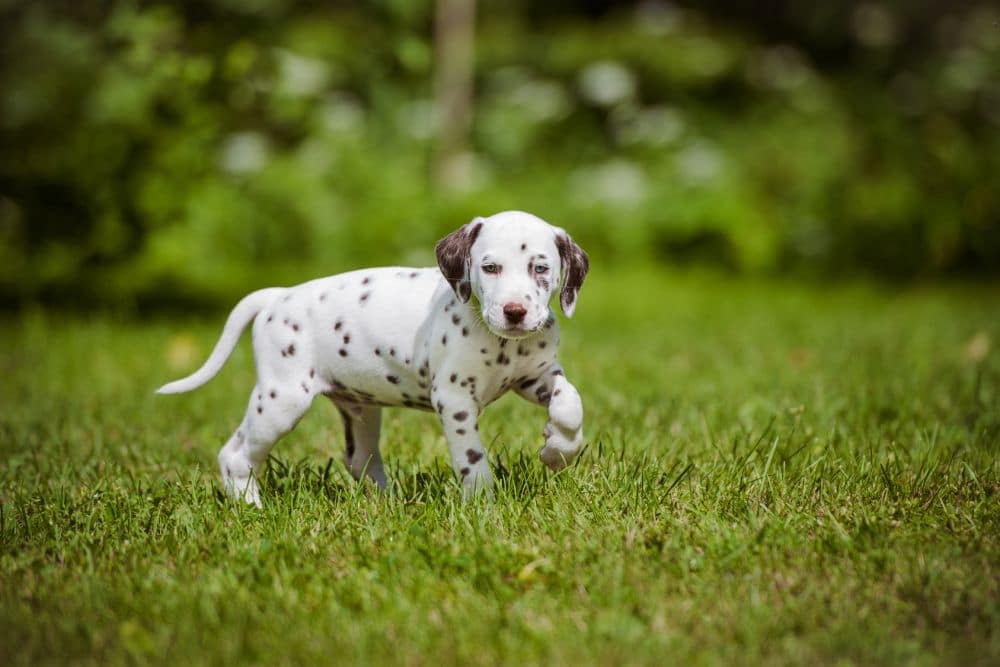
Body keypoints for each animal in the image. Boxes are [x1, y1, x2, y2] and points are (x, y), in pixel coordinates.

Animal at [158, 211, 584, 504]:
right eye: (490, 268)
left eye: (540, 268)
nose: (515, 312)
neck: (502, 344)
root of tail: (278, 296)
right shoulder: (454, 400)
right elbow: (471, 456)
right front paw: (483, 503)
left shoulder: (536, 377)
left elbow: (571, 404)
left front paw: (557, 449)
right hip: (281, 401)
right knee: (236, 454)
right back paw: (251, 509)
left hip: (359, 408)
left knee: (358, 458)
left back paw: (390, 504)